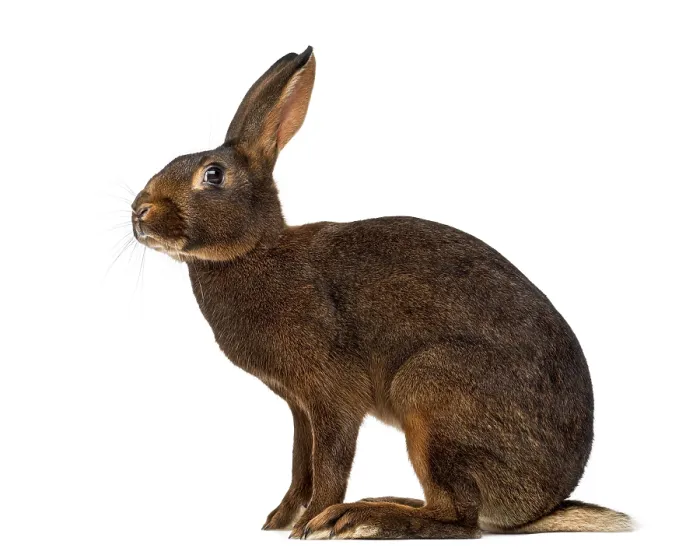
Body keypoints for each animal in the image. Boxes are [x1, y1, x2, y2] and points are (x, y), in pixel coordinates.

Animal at [130, 46, 632, 539]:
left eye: (212, 175)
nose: (139, 211)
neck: (255, 249)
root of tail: (540, 505)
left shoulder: (331, 395)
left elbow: (329, 464)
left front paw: (309, 524)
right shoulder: (299, 408)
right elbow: (300, 465)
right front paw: (280, 519)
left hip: (431, 397)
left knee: (458, 518)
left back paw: (360, 518)